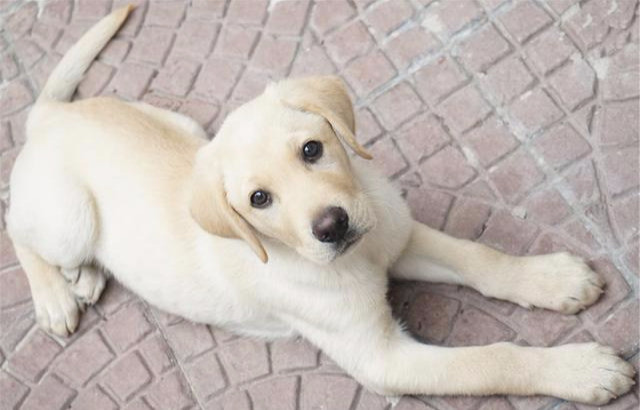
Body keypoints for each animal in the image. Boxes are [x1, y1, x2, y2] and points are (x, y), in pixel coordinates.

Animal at [6, 4, 636, 406]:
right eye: (259, 199)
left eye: (312, 149)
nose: (332, 225)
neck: (356, 259)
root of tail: (52, 114)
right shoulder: (385, 359)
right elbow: (488, 360)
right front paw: (580, 369)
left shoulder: (396, 233)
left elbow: (480, 258)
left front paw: (551, 279)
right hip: (68, 217)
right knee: (16, 225)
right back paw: (56, 296)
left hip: (183, 128)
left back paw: (86, 277)